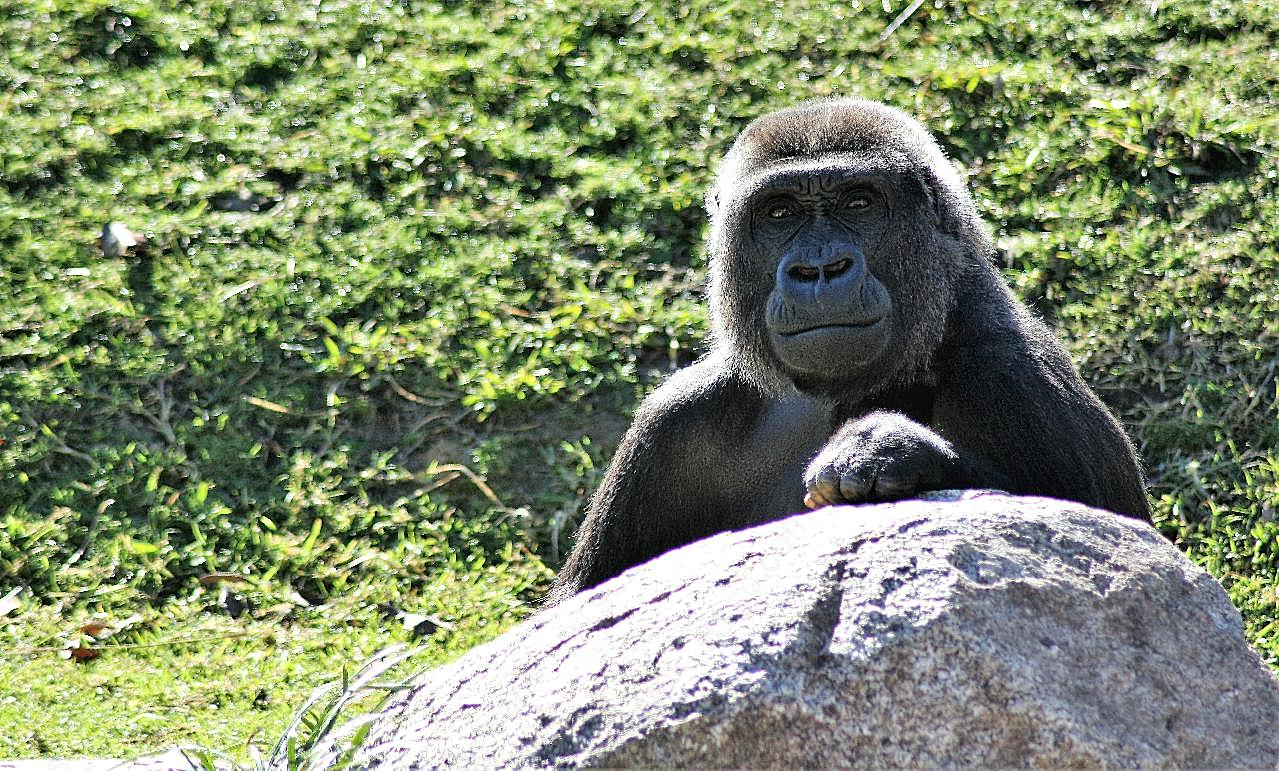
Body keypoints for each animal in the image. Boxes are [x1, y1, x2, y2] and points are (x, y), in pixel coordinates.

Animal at [544, 97, 1156, 603]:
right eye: (779, 213)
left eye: (860, 202)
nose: (819, 269)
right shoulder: (675, 422)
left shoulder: (1012, 374)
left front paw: (890, 450)